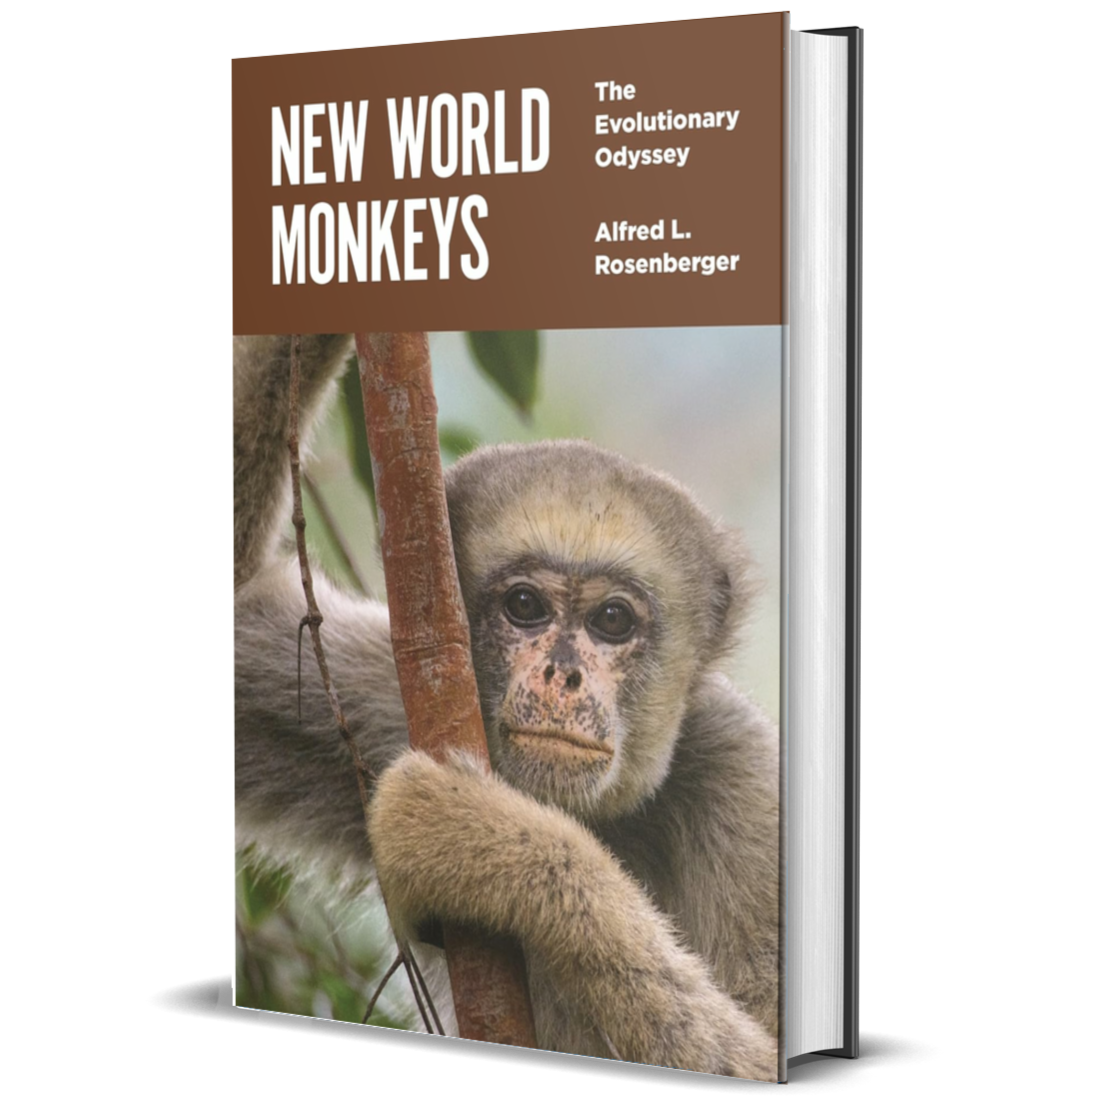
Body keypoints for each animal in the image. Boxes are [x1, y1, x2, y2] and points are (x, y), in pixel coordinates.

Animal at [233, 333, 780, 1081]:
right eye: (524, 606)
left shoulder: (742, 771)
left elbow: (764, 1053)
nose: (563, 675)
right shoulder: (385, 697)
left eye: (612, 620)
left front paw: (479, 836)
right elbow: (238, 613)